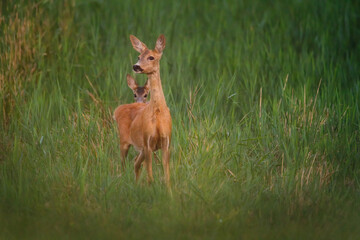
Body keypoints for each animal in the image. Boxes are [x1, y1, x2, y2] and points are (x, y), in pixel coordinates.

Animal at [114, 35, 172, 186]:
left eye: (151, 57)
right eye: (138, 56)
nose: (136, 66)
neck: (158, 114)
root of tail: (117, 111)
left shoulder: (166, 141)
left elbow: (167, 176)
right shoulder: (148, 142)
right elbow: (150, 177)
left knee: (135, 164)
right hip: (124, 141)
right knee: (123, 166)